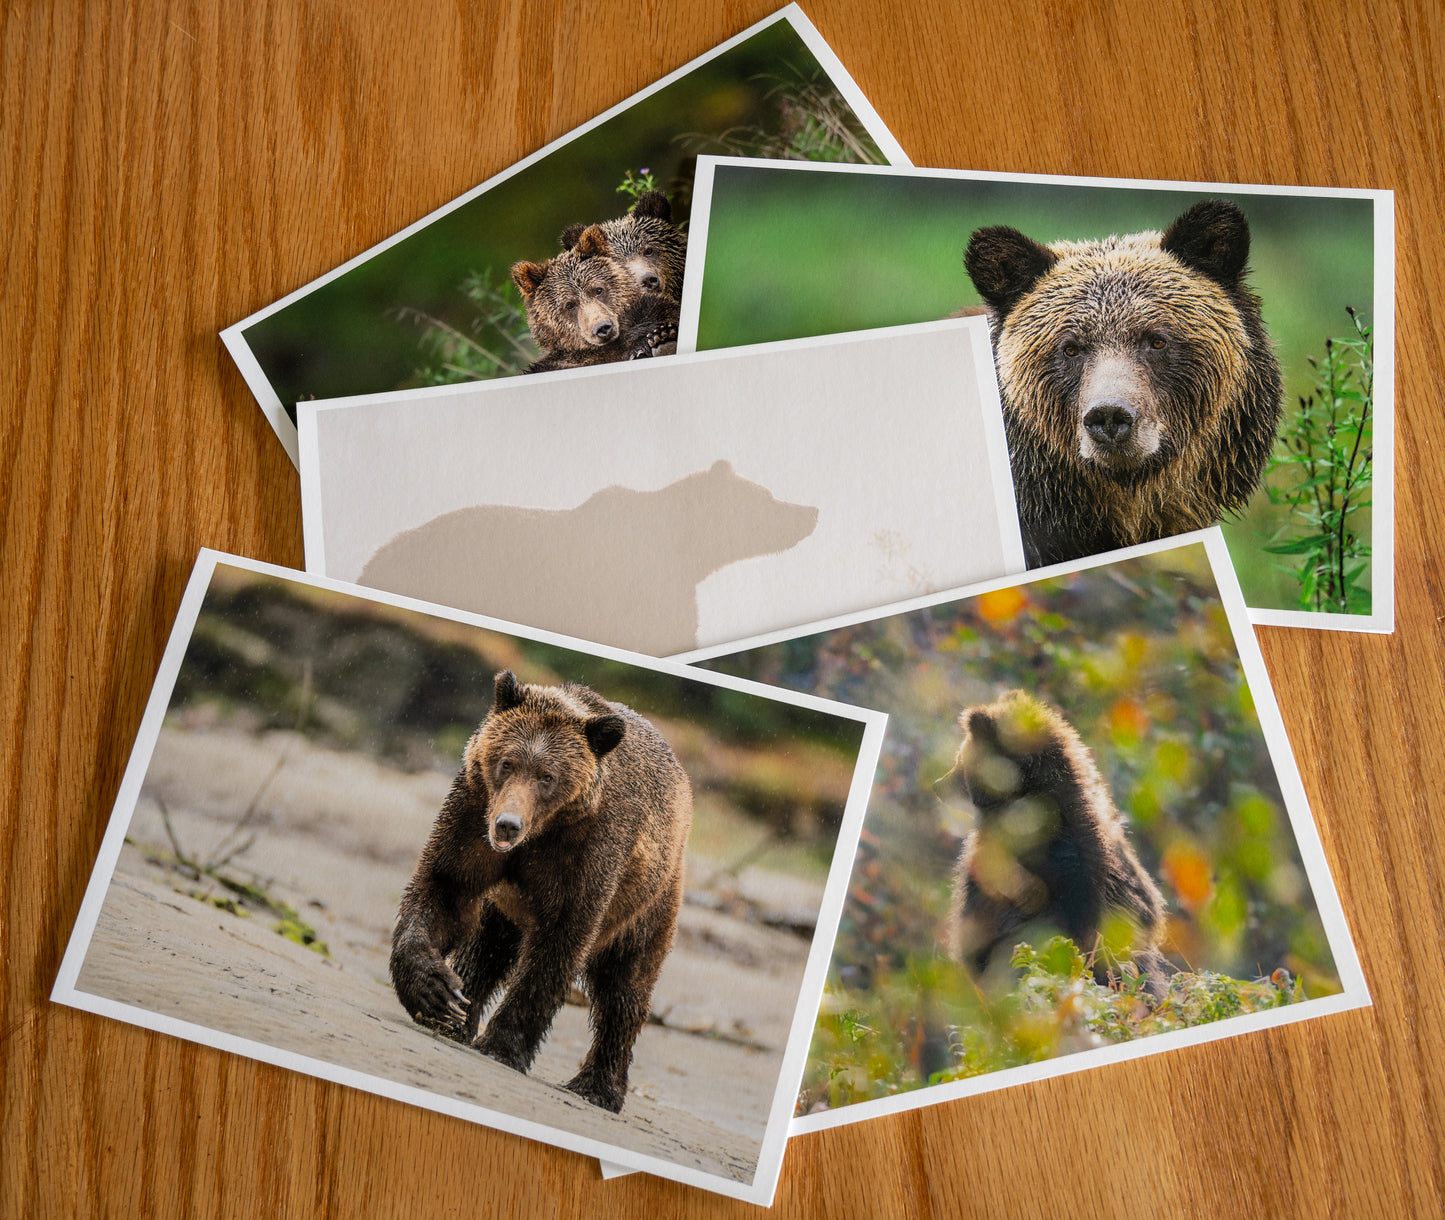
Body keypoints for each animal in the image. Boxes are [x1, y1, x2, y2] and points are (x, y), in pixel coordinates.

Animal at [390, 670, 693, 1110]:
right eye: (507, 762)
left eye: (547, 777)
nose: (507, 825)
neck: (540, 833)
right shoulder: (473, 810)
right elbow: (446, 888)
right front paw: (435, 993)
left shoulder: (587, 850)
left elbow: (558, 944)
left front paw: (502, 1045)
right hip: (506, 907)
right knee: (487, 949)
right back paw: (459, 1016)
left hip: (648, 902)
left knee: (626, 987)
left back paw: (598, 1087)